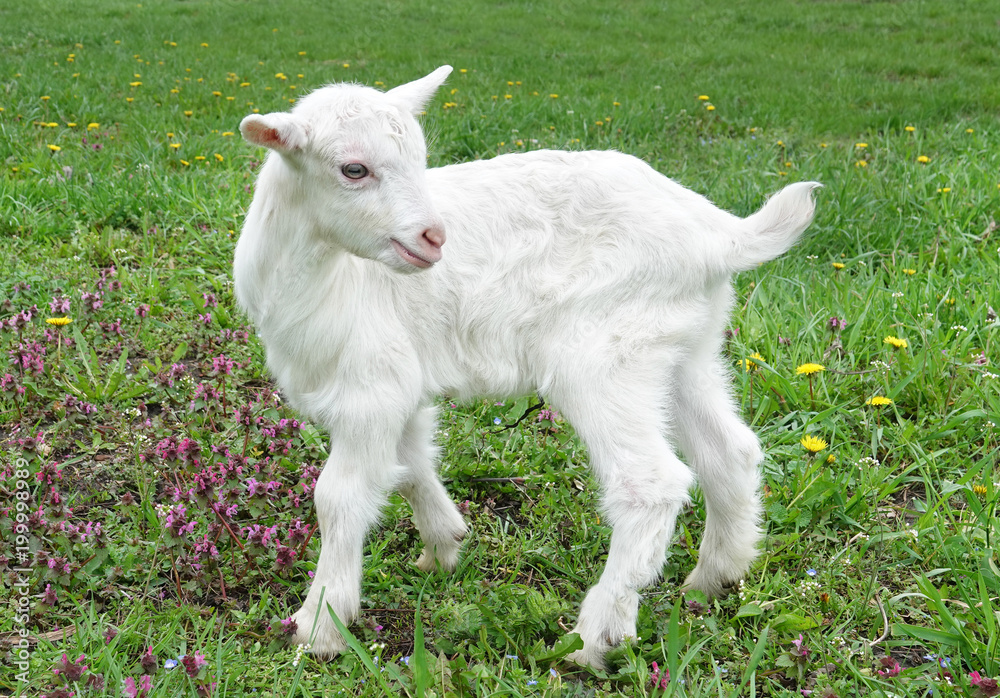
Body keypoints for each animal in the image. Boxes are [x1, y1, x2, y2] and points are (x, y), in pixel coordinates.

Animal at [234, 65, 819, 668]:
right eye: (354, 168)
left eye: (419, 158)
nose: (434, 237)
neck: (324, 277)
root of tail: (718, 235)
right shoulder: (403, 382)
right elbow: (412, 462)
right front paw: (444, 545)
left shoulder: (370, 388)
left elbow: (339, 497)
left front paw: (319, 624)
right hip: (684, 346)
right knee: (730, 450)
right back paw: (715, 578)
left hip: (603, 357)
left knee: (651, 484)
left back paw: (596, 636)